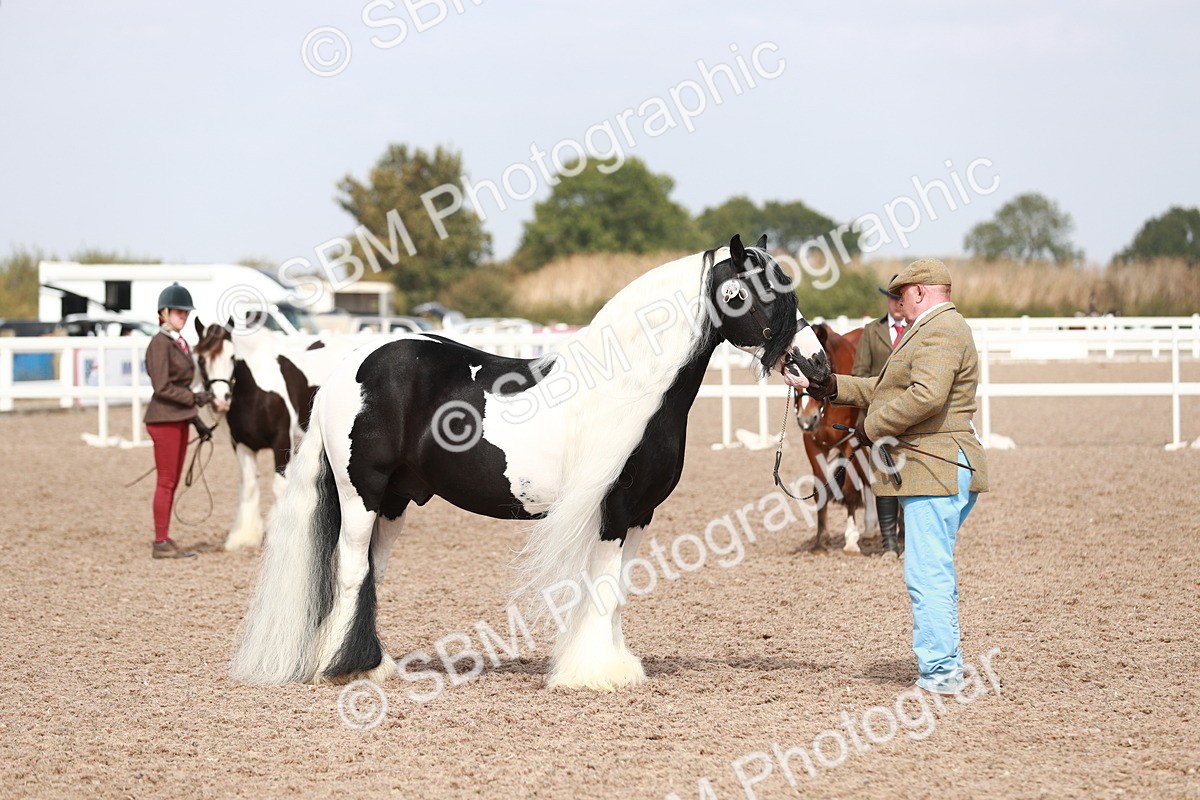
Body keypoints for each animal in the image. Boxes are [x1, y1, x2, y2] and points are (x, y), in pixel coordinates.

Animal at [192, 319, 352, 551]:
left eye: (232, 357)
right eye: (201, 359)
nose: (220, 400)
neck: (256, 392)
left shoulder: (281, 441)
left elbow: (279, 486)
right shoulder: (242, 445)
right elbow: (249, 486)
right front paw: (244, 537)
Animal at [229, 234, 828, 692]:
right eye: (750, 294)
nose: (817, 367)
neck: (632, 389)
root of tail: (348, 368)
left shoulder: (639, 514)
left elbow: (616, 590)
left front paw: (614, 665)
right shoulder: (613, 510)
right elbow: (603, 586)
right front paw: (593, 673)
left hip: (395, 503)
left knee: (372, 570)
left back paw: (373, 666)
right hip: (362, 494)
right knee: (352, 568)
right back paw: (346, 669)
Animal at [795, 324, 873, 553]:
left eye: (822, 365)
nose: (806, 419)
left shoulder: (850, 442)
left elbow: (849, 491)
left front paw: (851, 540)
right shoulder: (813, 444)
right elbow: (819, 491)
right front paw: (821, 539)